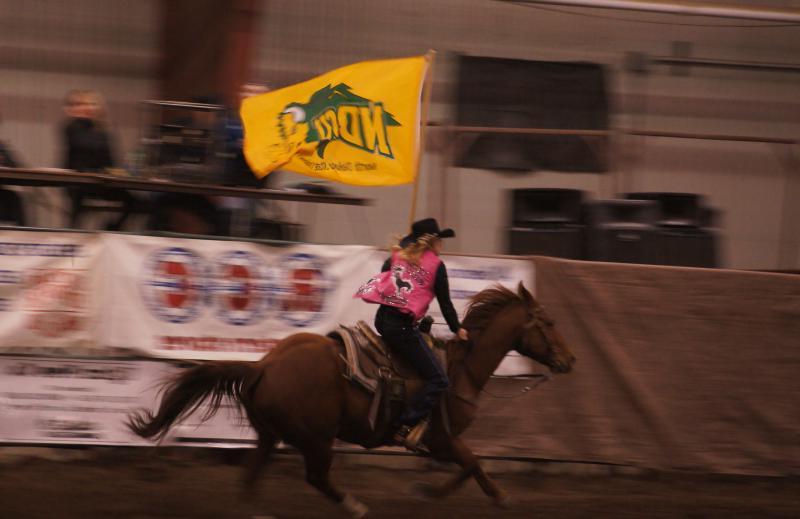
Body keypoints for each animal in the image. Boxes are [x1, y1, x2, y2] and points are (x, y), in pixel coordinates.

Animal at [126, 282, 576, 516]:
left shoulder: (443, 443)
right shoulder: (441, 440)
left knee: (253, 476)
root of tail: (264, 366)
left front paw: (488, 495)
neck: (460, 369)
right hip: (318, 437)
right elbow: (472, 464)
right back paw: (355, 505)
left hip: (270, 434)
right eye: (549, 322)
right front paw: (435, 493)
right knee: (317, 477)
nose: (569, 360)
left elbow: (473, 466)